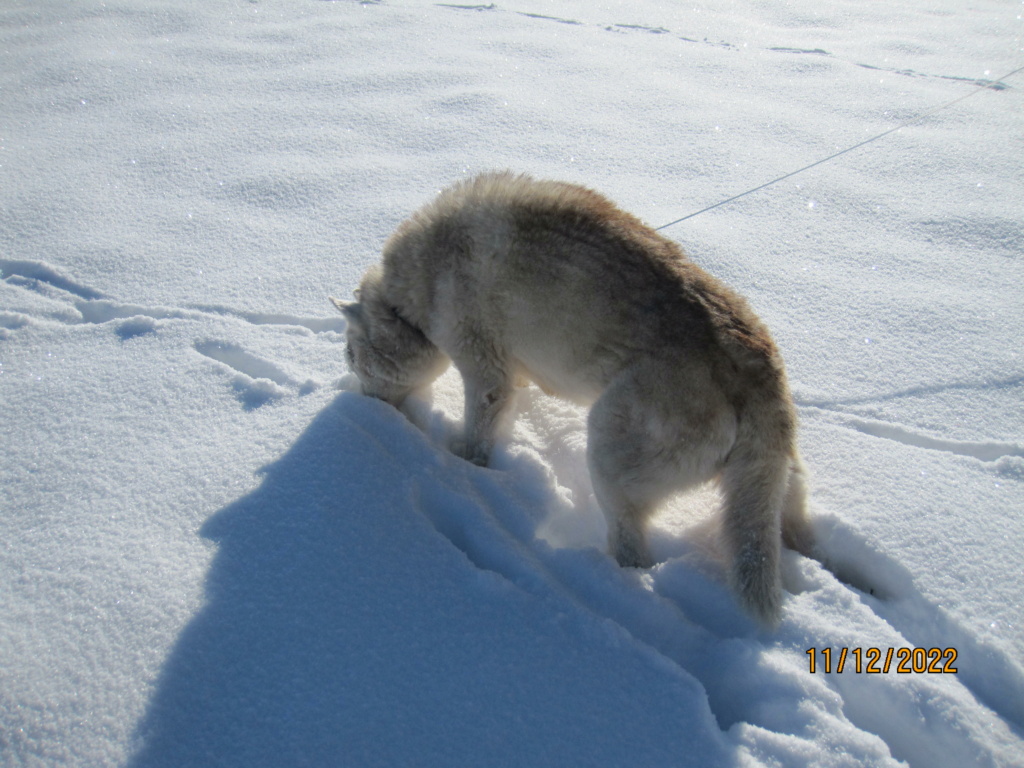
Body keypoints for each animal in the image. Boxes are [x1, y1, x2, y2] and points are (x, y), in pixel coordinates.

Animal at [335, 171, 815, 626]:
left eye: (351, 358)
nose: (364, 405)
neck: (418, 285)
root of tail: (758, 369)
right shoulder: (511, 370)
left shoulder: (485, 370)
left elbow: (479, 432)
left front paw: (467, 463)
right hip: (772, 480)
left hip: (608, 447)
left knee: (632, 551)